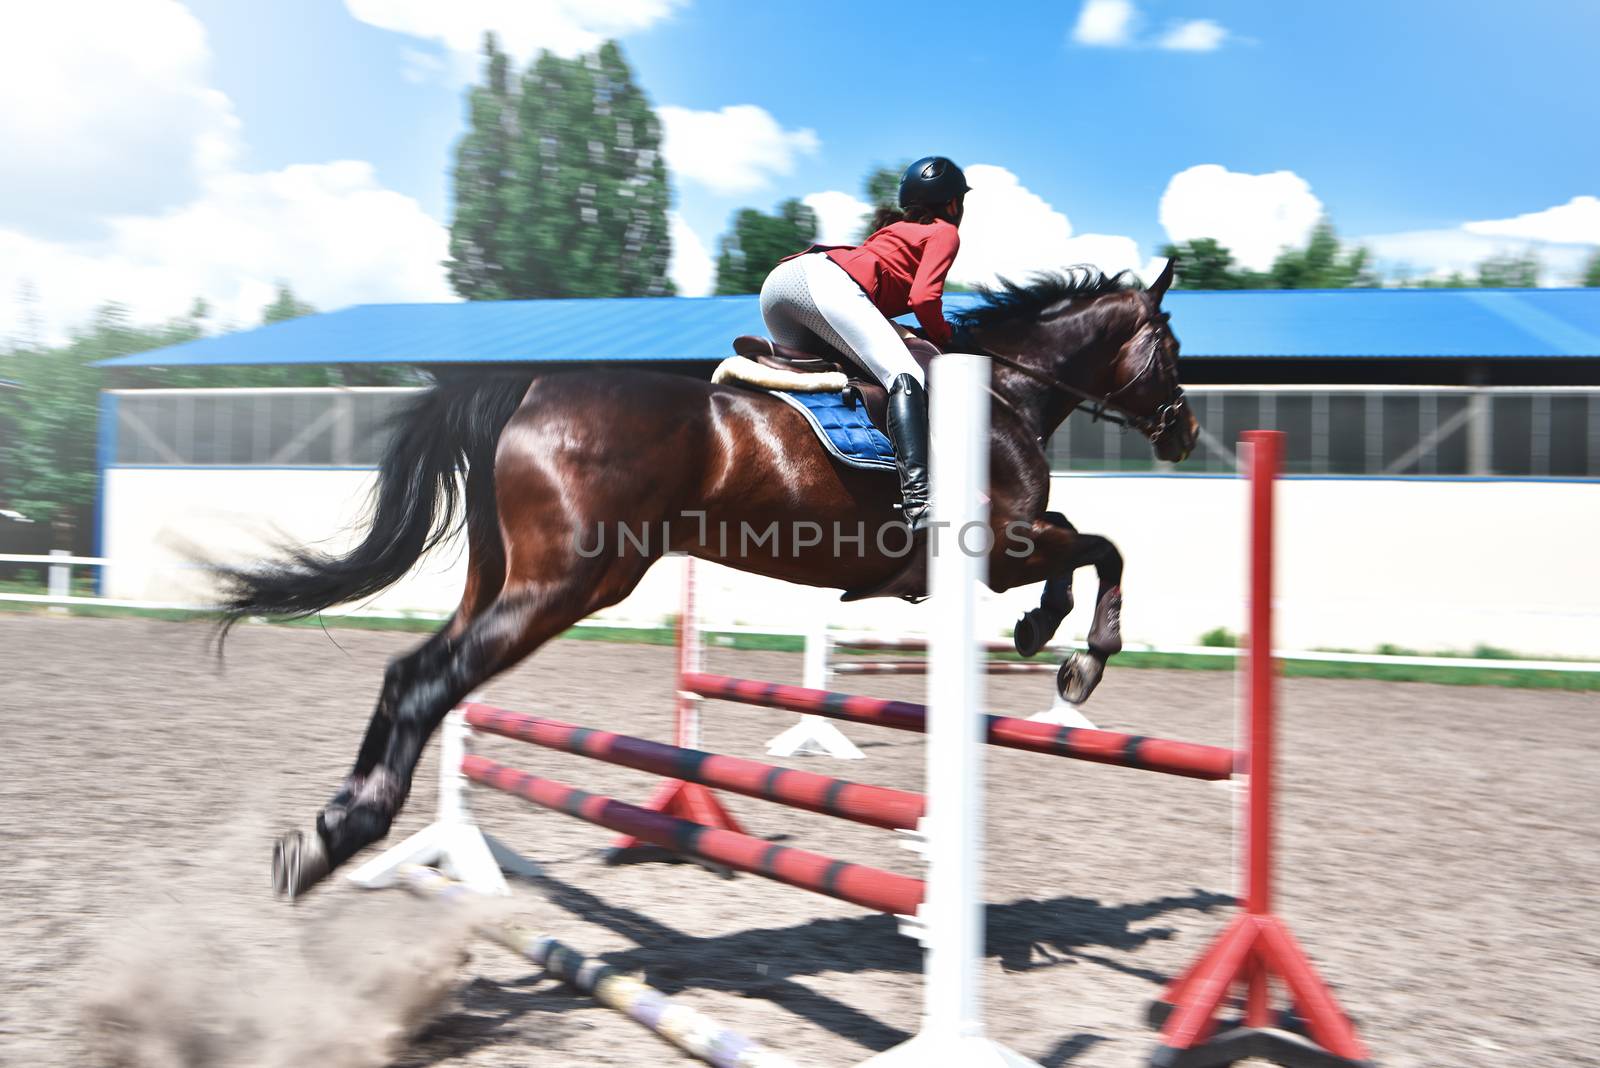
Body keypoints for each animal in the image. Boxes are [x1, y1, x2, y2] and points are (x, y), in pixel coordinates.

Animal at [228, 262, 1203, 895]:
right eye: (1170, 344)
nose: (1186, 434)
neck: (1006, 390)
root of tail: (533, 390)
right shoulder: (1000, 544)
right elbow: (1099, 547)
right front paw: (1081, 657)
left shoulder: (1010, 546)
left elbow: (1085, 545)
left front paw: (1047, 637)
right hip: (569, 585)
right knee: (431, 679)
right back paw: (346, 831)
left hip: (501, 582)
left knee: (414, 675)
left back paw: (328, 834)